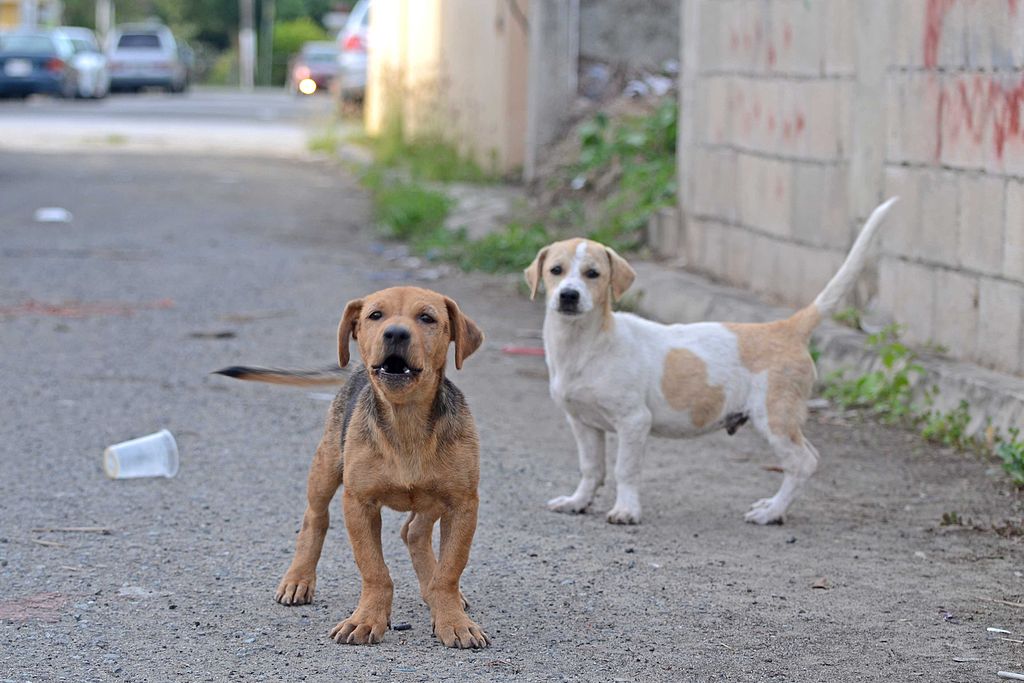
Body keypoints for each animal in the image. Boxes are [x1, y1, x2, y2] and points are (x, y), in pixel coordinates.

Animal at [217, 286, 487, 651]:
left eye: (427, 318)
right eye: (375, 316)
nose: (396, 333)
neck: (406, 421)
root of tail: (355, 368)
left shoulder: (462, 503)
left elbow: (449, 572)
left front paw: (453, 620)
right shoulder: (359, 502)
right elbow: (374, 570)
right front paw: (367, 619)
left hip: (434, 497)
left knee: (413, 531)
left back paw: (432, 591)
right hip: (326, 466)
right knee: (315, 517)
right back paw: (298, 579)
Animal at [524, 196, 901, 524]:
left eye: (593, 274)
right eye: (556, 270)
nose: (568, 296)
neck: (585, 345)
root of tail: (785, 327)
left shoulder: (634, 421)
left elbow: (625, 470)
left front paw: (627, 511)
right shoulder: (582, 422)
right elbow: (592, 469)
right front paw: (577, 502)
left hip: (774, 417)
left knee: (804, 462)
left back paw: (772, 513)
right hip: (783, 419)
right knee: (805, 457)